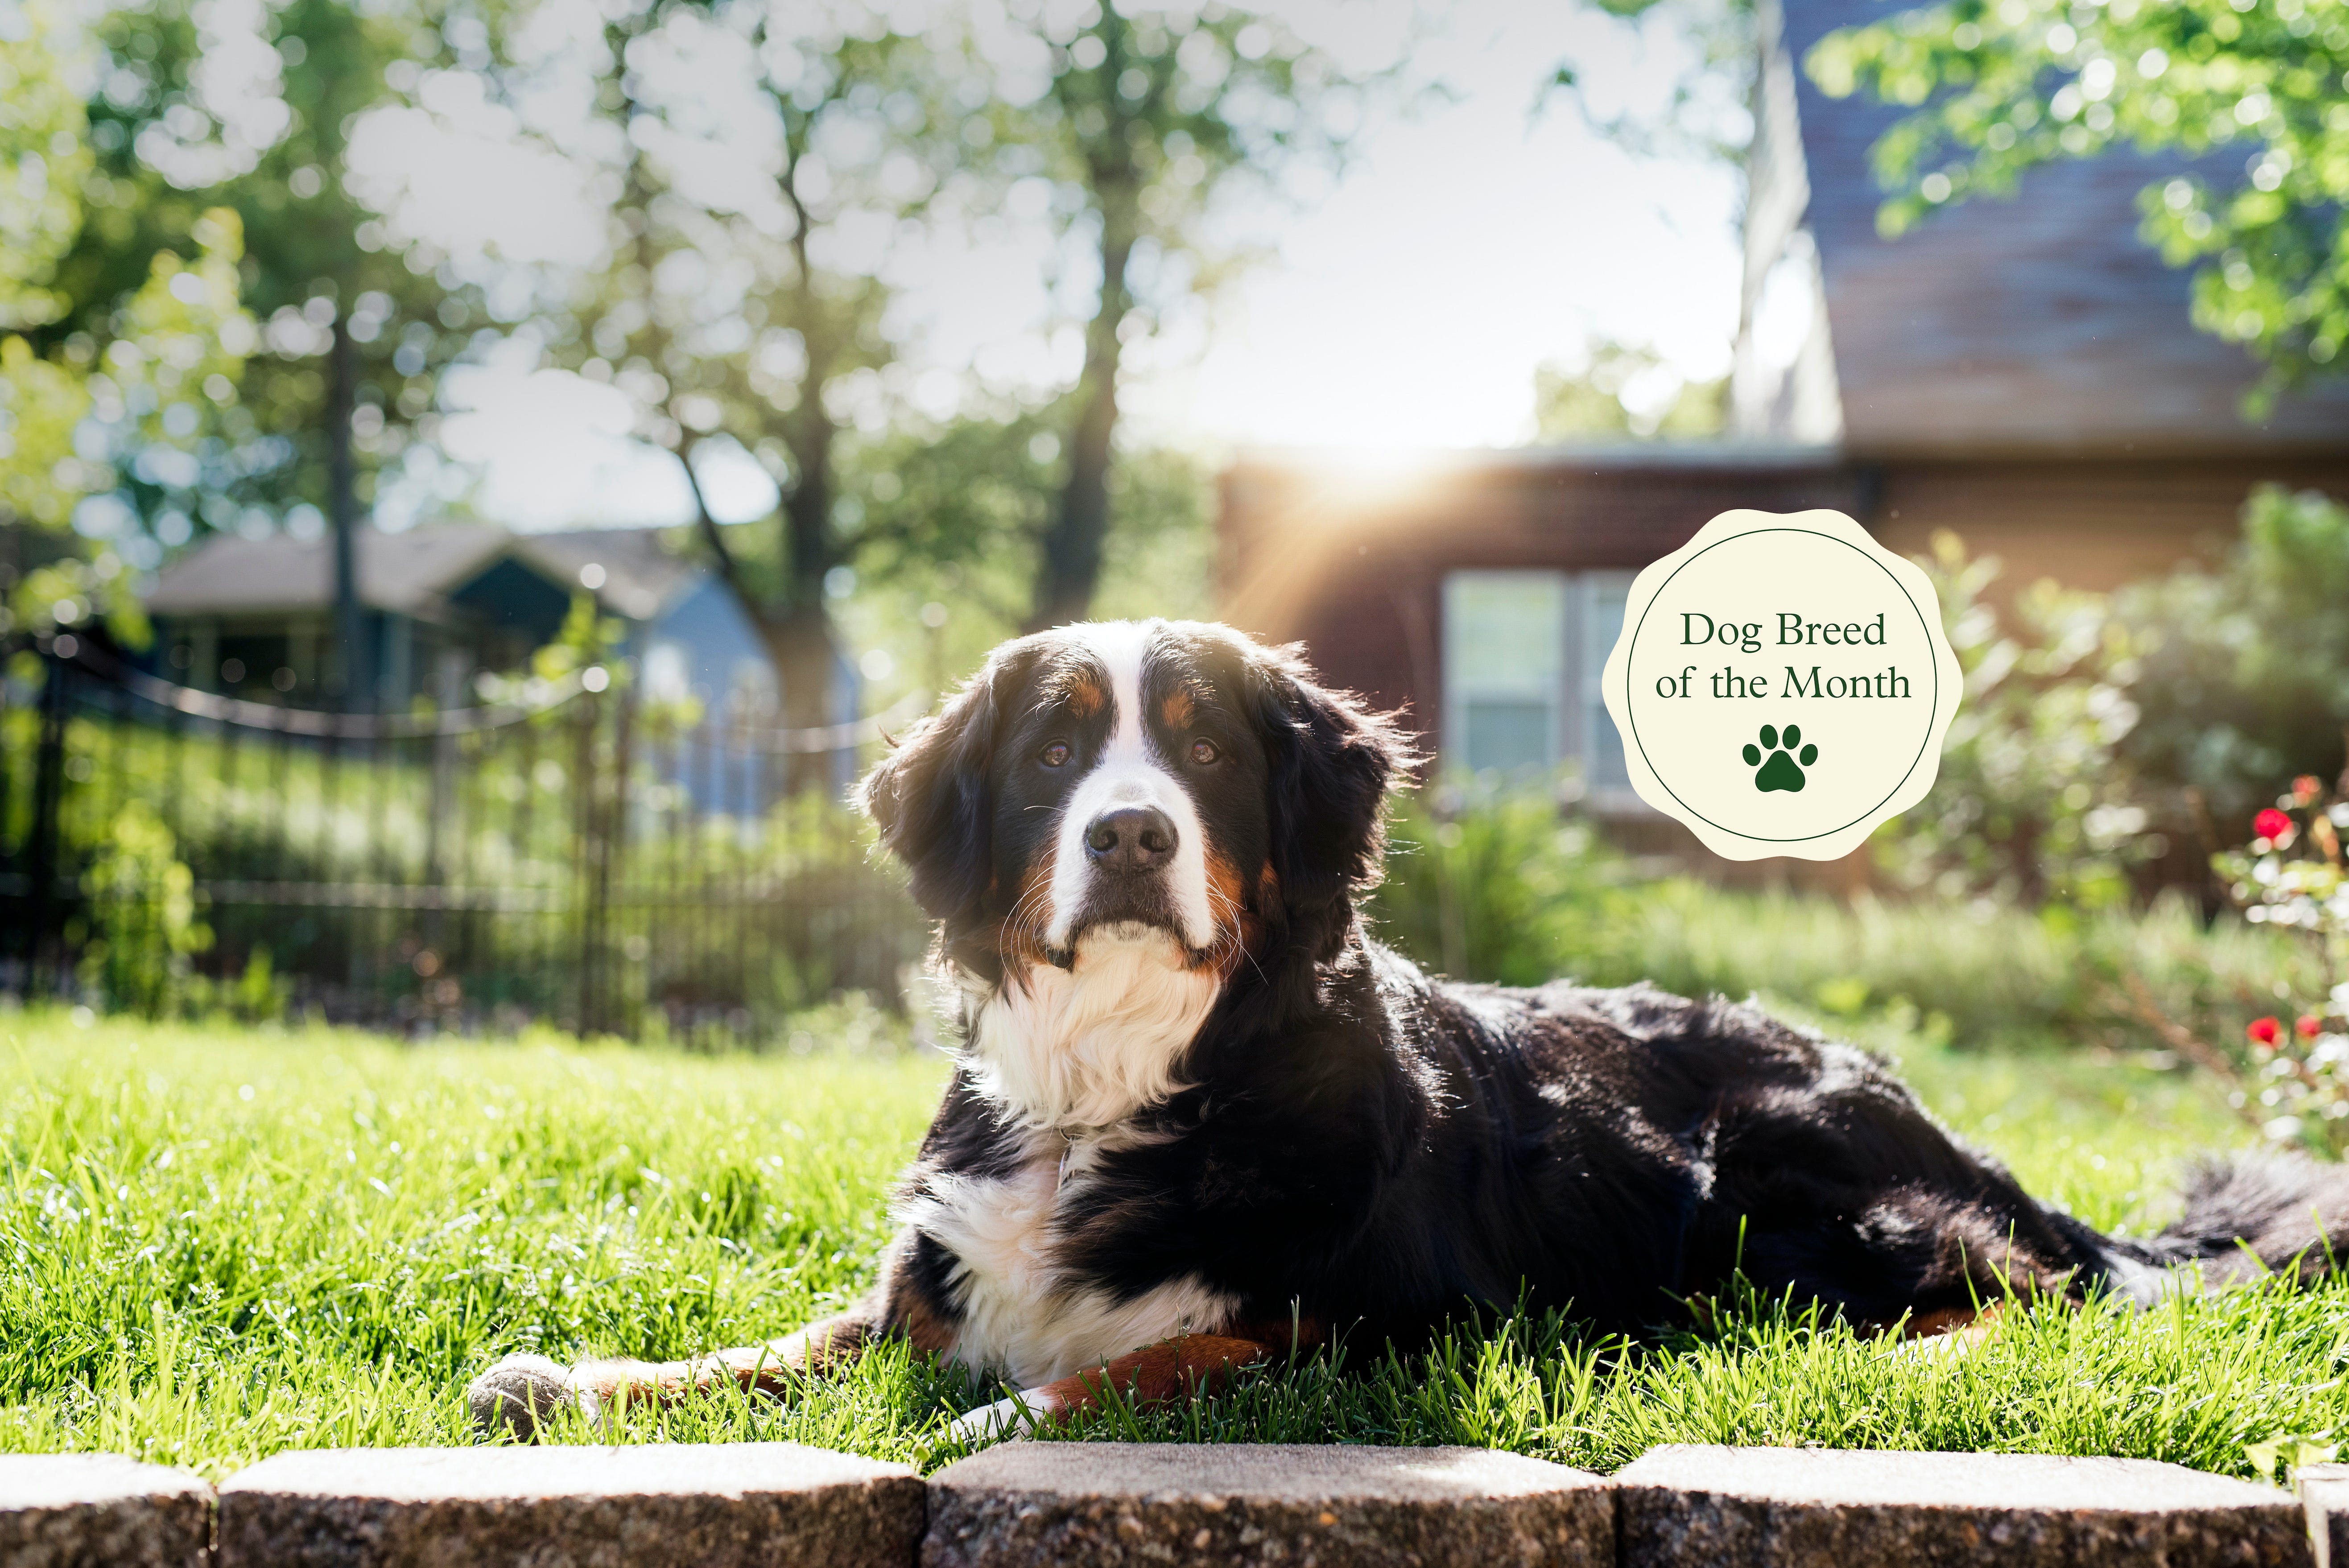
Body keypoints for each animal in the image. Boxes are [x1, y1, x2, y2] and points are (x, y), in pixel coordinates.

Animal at [467, 615, 2349, 1446]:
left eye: (1204, 750)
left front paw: (1006, 1415)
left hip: (1780, 1165)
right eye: (1057, 750)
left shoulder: (1386, 1323)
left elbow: (1152, 1356)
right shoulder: (924, 1278)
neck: (1127, 1075)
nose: (1129, 833)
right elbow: (775, 1345)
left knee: (2016, 1295)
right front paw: (575, 1375)